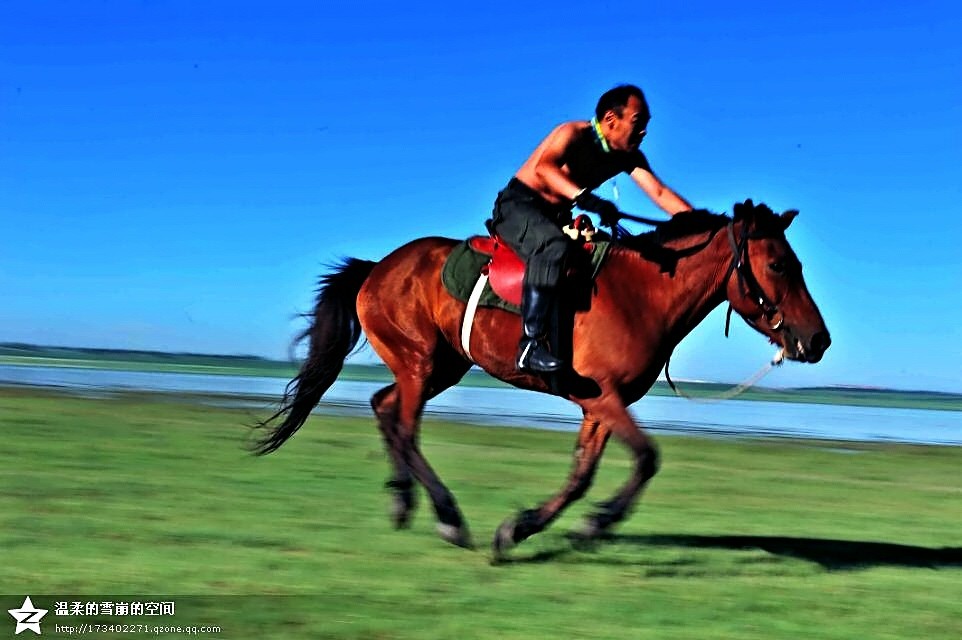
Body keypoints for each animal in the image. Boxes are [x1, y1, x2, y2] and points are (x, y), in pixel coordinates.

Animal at [251, 198, 828, 556]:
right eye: (779, 264)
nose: (817, 340)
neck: (642, 294)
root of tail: (376, 268)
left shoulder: (601, 404)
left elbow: (581, 476)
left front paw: (526, 527)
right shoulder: (603, 397)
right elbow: (646, 458)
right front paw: (593, 522)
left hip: (443, 365)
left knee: (384, 407)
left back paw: (401, 500)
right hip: (419, 362)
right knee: (406, 427)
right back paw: (447, 516)